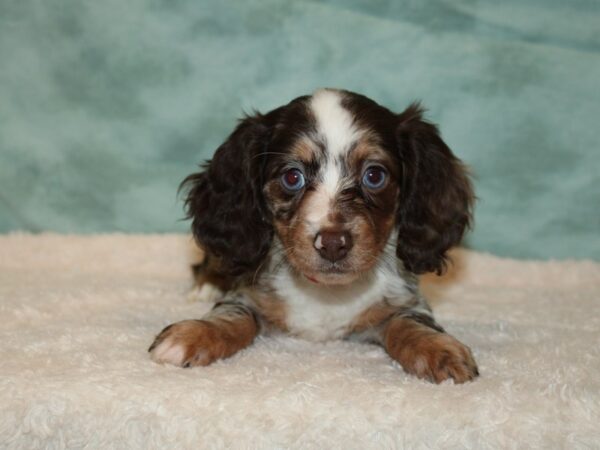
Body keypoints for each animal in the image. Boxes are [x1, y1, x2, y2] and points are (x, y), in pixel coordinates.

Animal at [150, 87, 478, 384]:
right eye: (292, 177)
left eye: (374, 176)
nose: (333, 244)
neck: (326, 294)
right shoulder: (246, 295)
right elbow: (232, 316)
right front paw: (193, 333)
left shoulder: (405, 303)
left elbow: (410, 324)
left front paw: (439, 350)